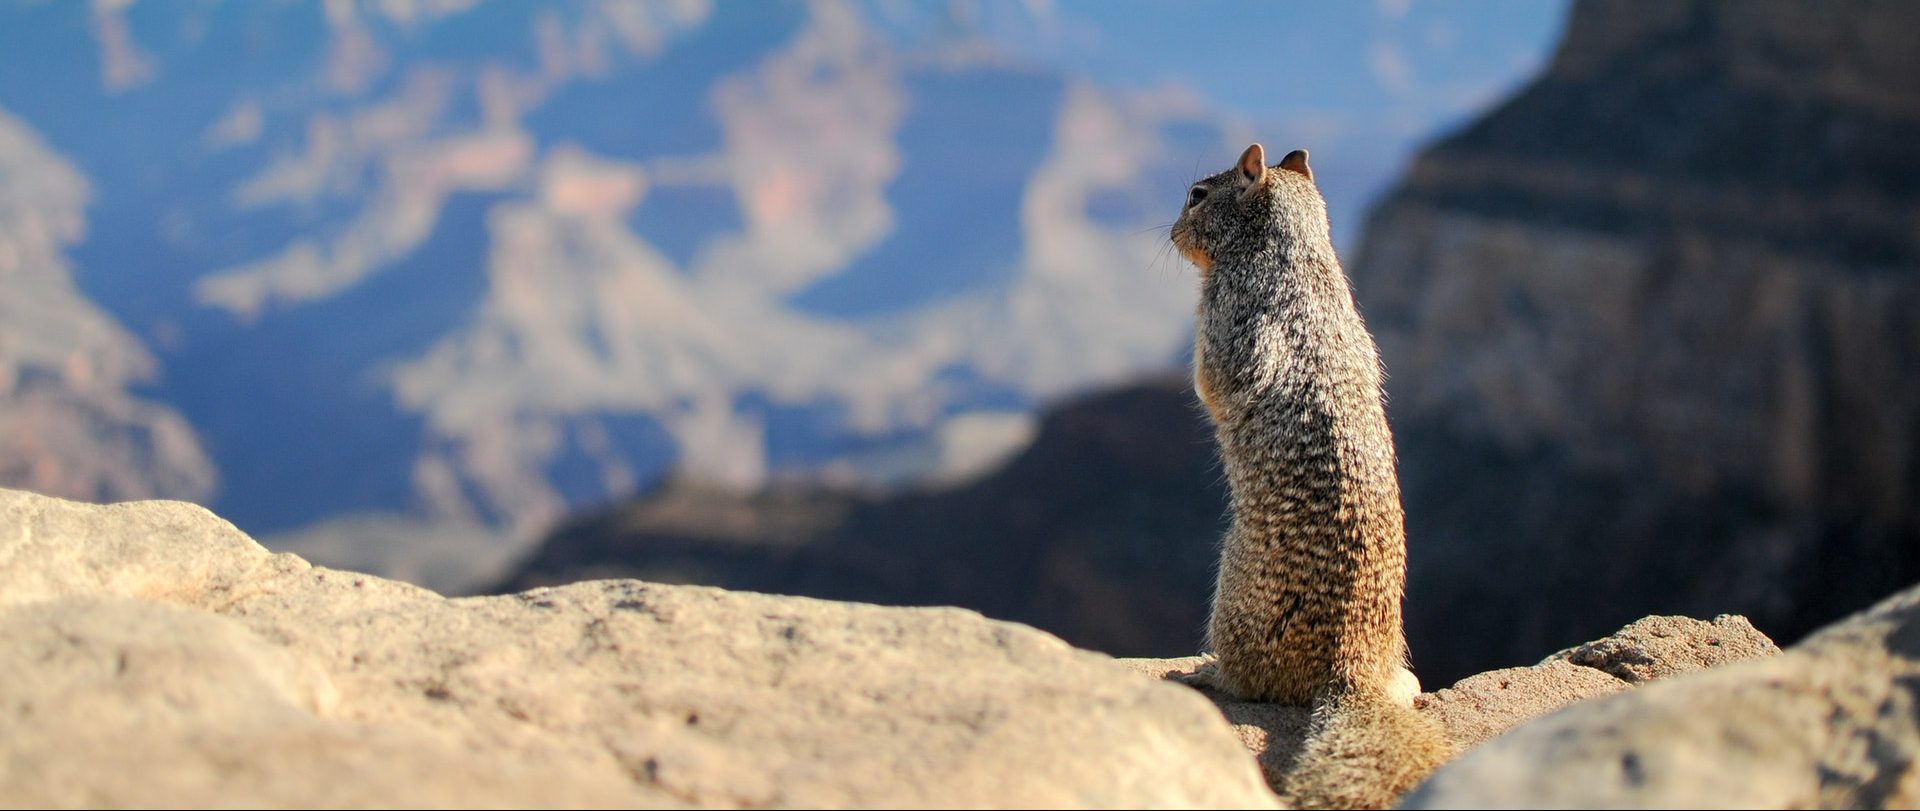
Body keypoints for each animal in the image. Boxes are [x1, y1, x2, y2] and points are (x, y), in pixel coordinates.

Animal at [1167, 142, 1451, 807]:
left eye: (1197, 196)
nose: (1169, 231)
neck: (1292, 255)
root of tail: (1350, 671)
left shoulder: (1222, 318)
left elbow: (1210, 381)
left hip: (1232, 605)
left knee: (1247, 683)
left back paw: (1202, 672)